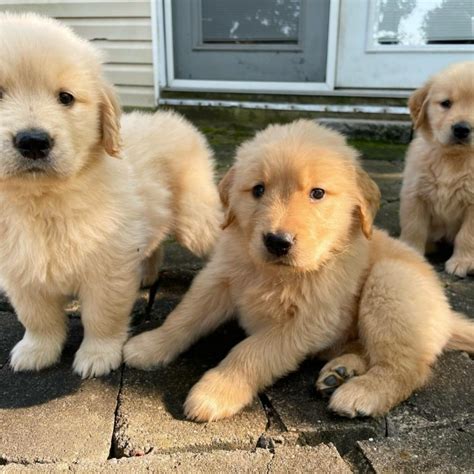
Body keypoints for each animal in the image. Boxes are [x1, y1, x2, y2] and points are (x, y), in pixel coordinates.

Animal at [0, 13, 222, 378]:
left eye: (65, 98)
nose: (33, 141)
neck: (43, 198)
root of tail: (174, 118)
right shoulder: (21, 270)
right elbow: (37, 317)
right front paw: (36, 351)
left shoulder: (108, 268)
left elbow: (101, 315)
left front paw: (98, 356)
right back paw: (146, 275)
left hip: (194, 217)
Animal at [125, 119, 474, 422]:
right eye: (258, 190)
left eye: (317, 193)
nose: (277, 242)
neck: (274, 273)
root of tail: (446, 315)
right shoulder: (218, 279)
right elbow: (185, 316)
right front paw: (150, 345)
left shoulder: (308, 321)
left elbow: (250, 352)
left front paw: (216, 390)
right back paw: (340, 372)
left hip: (391, 283)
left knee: (406, 367)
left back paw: (363, 391)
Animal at [400, 60, 474, 276]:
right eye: (446, 103)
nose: (461, 129)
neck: (452, 159)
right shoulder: (414, 194)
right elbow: (414, 227)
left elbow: (467, 235)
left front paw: (462, 261)